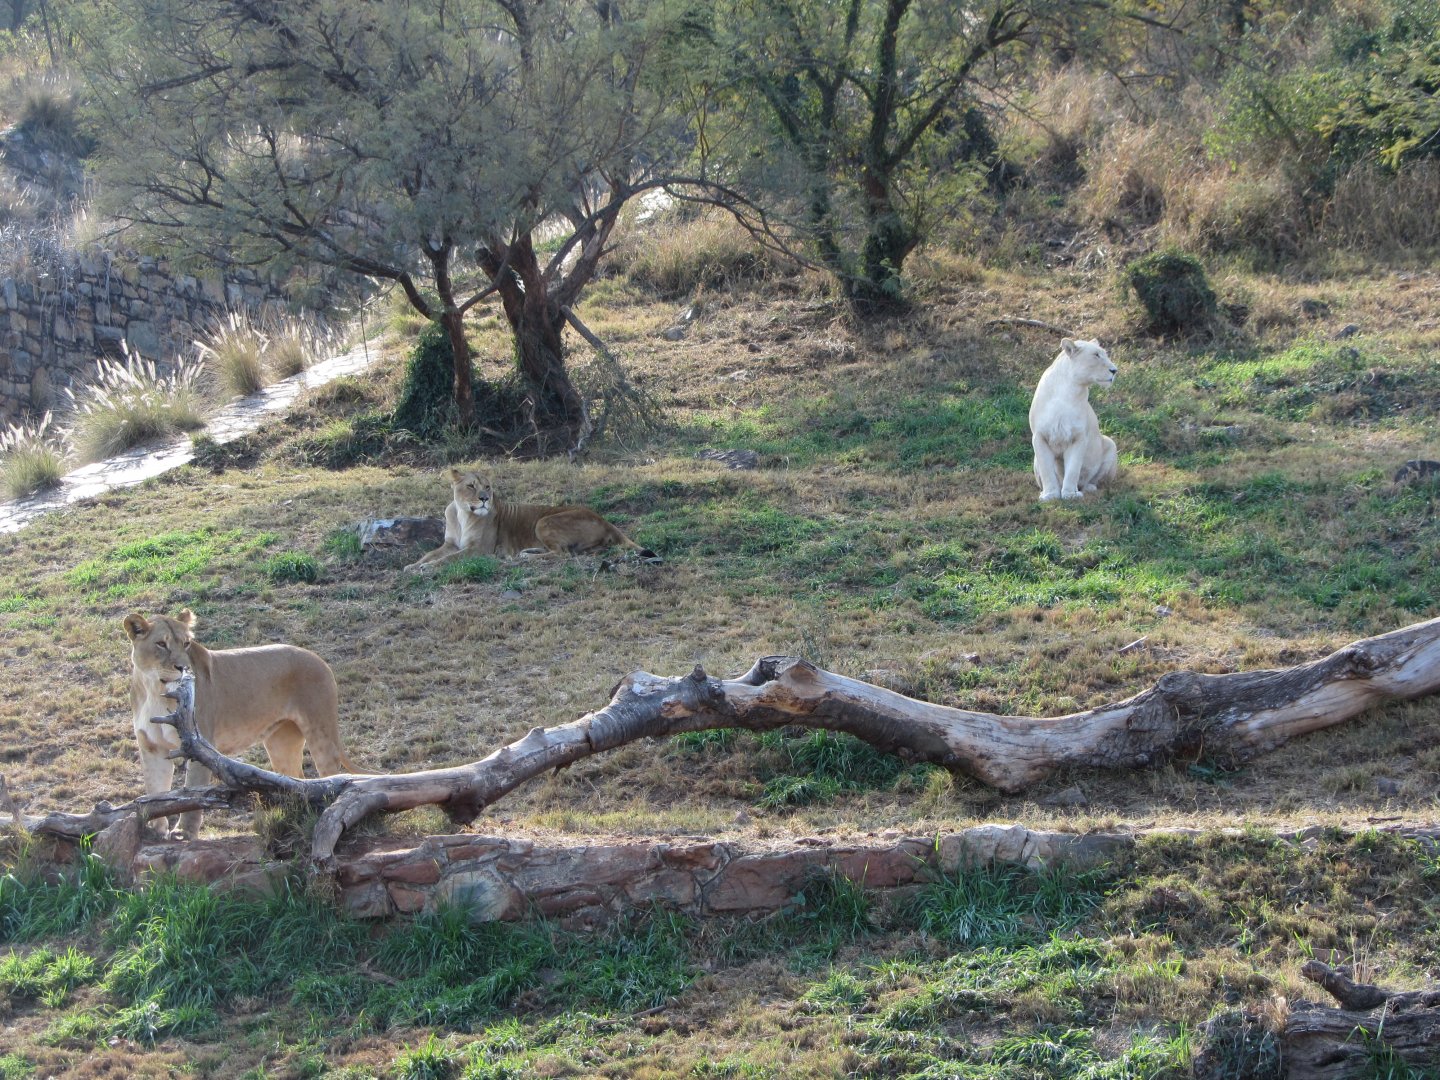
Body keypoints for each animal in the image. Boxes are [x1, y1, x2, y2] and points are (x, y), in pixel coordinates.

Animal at [124, 609, 362, 839]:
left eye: (186, 643)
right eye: (161, 644)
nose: (183, 668)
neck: (155, 690)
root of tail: (318, 658)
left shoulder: (197, 743)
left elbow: (193, 789)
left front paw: (184, 833)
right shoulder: (152, 747)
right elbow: (155, 789)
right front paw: (155, 829)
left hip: (320, 732)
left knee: (329, 777)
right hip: (281, 743)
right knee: (297, 782)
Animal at [404, 469, 658, 571]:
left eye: (488, 487)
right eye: (471, 486)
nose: (485, 498)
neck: (462, 513)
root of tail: (605, 520)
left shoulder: (479, 550)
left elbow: (449, 560)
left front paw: (427, 567)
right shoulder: (450, 544)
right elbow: (431, 554)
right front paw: (413, 565)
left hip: (543, 522)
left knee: (562, 554)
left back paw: (525, 557)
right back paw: (527, 552)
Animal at [1028, 337, 1119, 501]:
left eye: (1105, 354)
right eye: (1096, 355)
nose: (1115, 370)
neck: (1068, 391)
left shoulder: (1078, 436)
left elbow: (1073, 469)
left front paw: (1070, 494)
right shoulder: (1039, 437)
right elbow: (1046, 469)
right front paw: (1050, 495)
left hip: (1110, 443)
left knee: (1095, 480)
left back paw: (1089, 488)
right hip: (1034, 460)